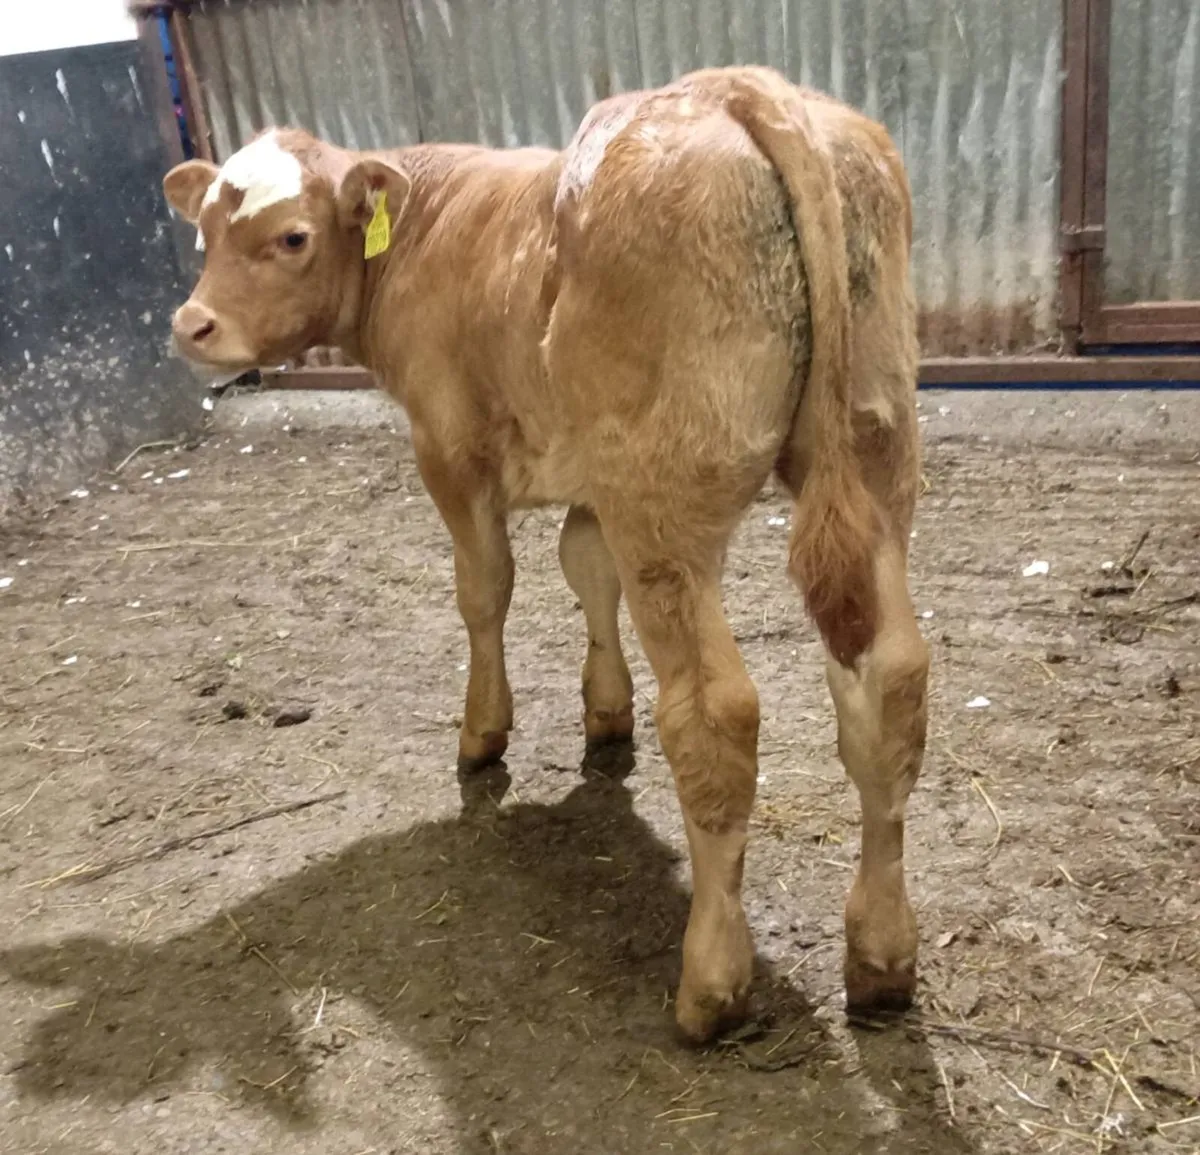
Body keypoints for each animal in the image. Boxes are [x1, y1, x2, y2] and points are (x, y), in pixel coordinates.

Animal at [161, 65, 929, 1045]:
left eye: (291, 235)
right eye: (203, 230)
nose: (194, 324)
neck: (428, 225)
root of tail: (735, 89)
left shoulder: (450, 450)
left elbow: (485, 589)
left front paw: (482, 734)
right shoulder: (589, 475)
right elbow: (583, 567)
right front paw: (605, 713)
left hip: (664, 501)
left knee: (718, 715)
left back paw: (711, 983)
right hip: (874, 457)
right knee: (890, 679)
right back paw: (881, 958)